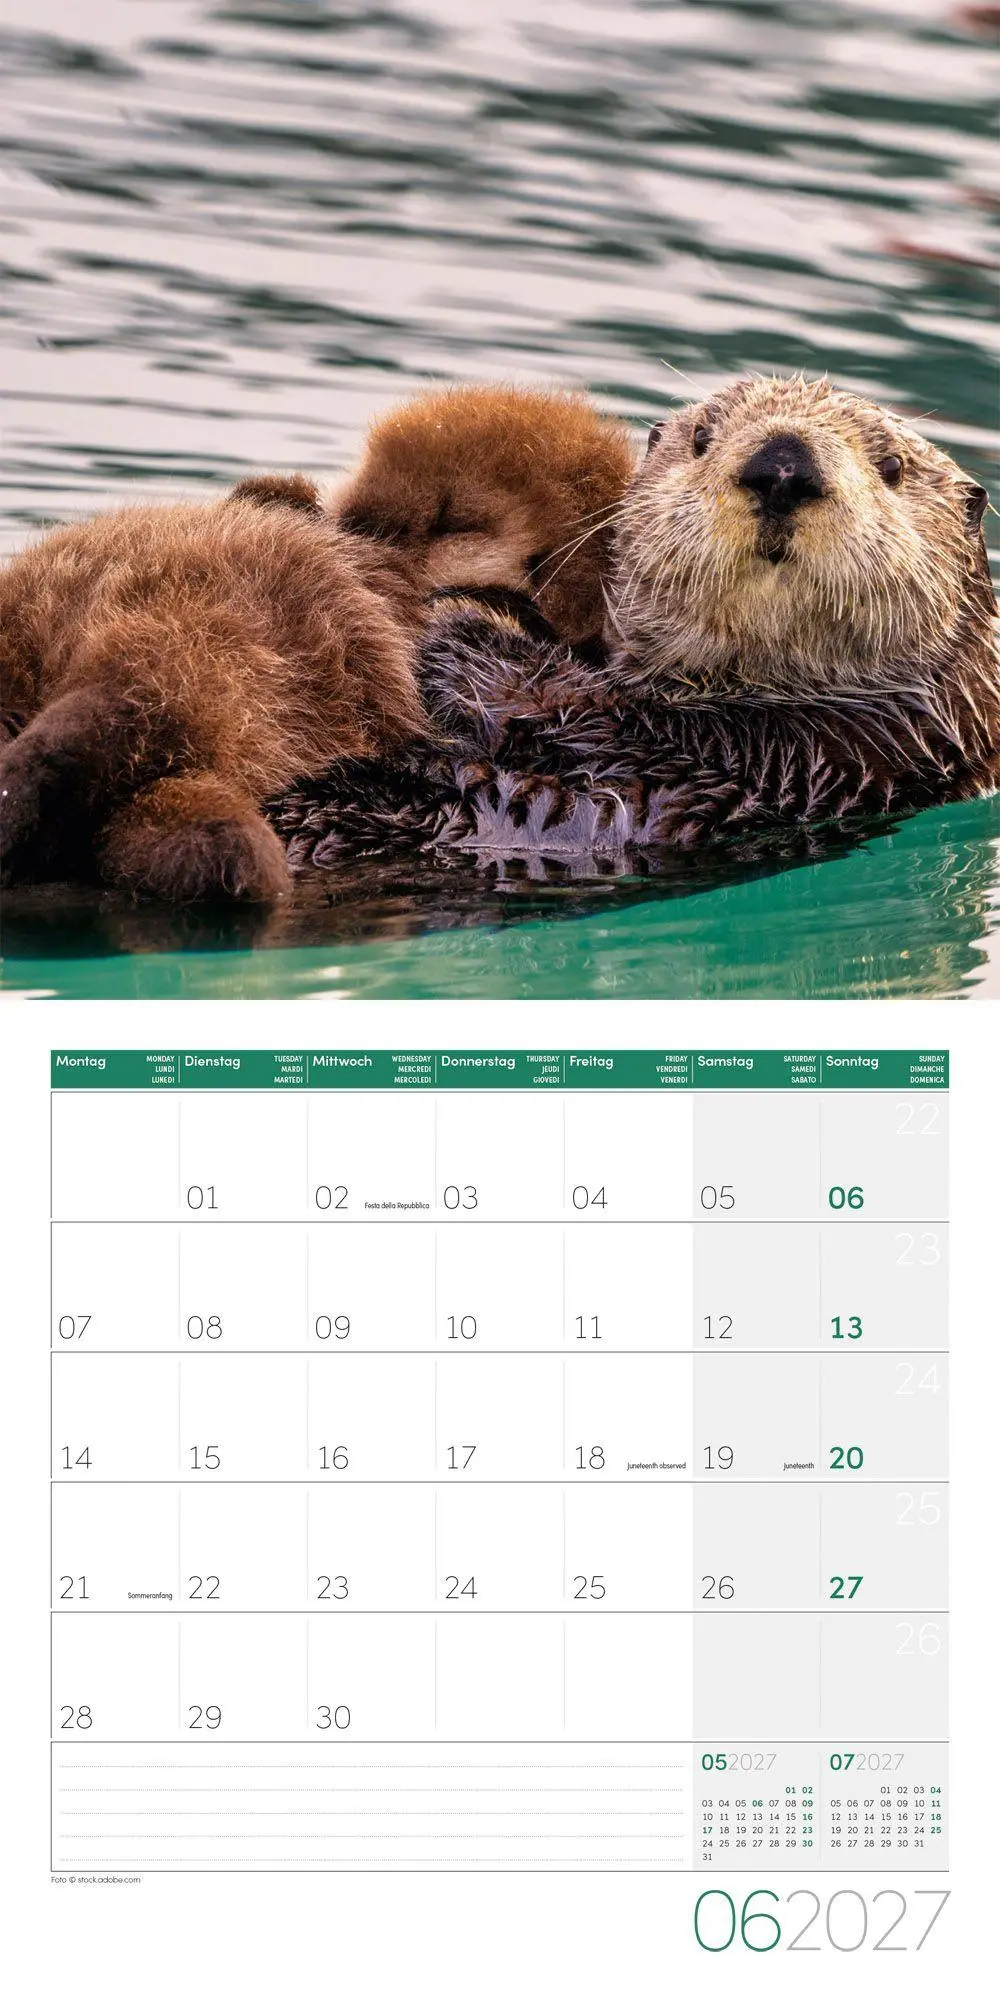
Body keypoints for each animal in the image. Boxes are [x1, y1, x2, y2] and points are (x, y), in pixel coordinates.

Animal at [272, 376, 998, 866]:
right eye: (702, 437)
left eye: (893, 467)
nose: (783, 465)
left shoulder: (801, 756)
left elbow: (554, 711)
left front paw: (464, 614)